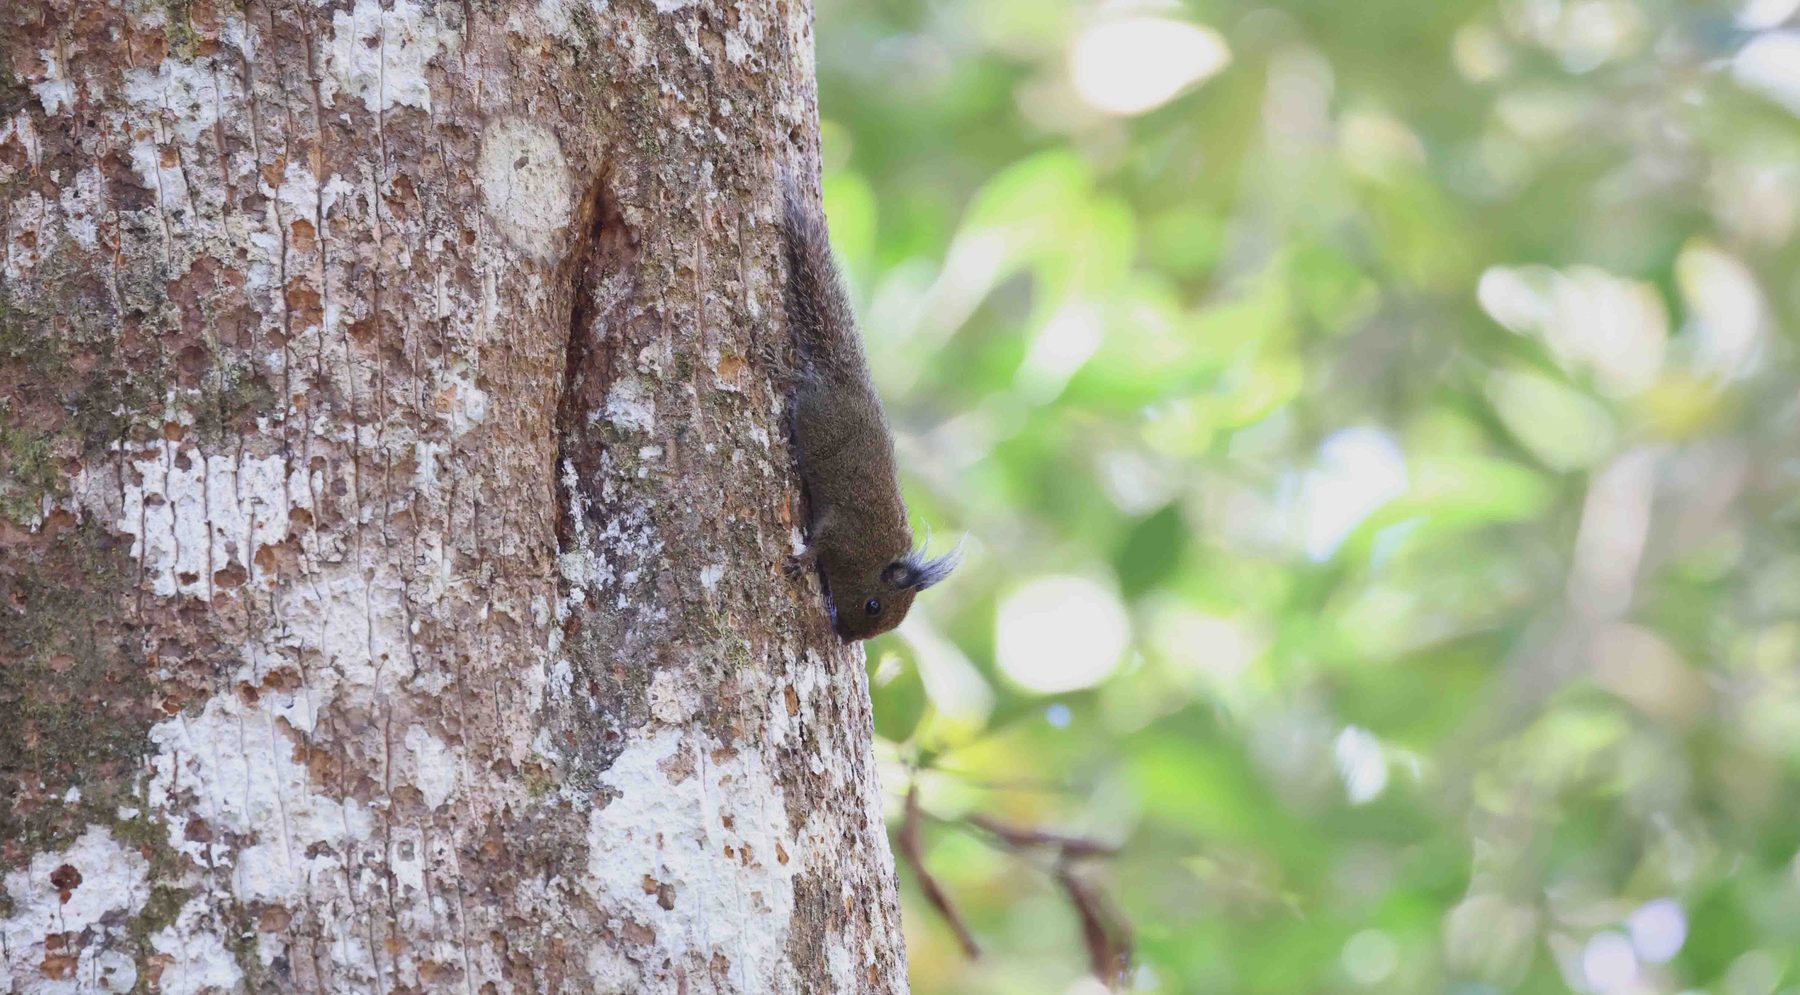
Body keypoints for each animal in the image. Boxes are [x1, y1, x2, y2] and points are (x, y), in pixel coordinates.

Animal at [776, 177, 960, 642]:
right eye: (874, 605)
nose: (846, 636)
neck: (873, 554)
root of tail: (849, 379)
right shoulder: (842, 530)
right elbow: (818, 543)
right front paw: (801, 561)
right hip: (818, 408)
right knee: (803, 383)